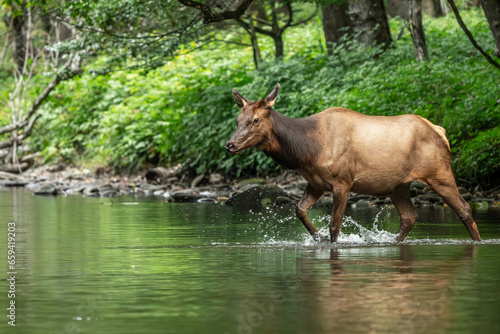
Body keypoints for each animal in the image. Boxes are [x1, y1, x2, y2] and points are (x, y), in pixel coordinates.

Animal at [226, 83, 480, 243]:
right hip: (398, 186)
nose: (230, 144)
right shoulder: (315, 183)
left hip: (439, 173)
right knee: (410, 216)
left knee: (464, 208)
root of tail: (441, 132)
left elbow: (335, 225)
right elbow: (299, 210)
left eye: (255, 120)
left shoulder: (342, 181)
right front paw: (317, 237)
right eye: (238, 119)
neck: (307, 150)